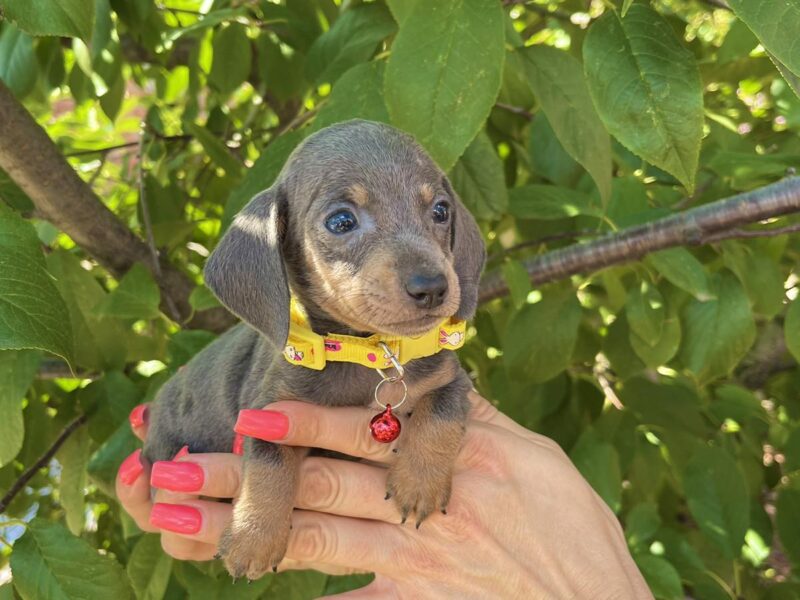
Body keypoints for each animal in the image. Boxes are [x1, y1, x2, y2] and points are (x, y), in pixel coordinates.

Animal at [141, 118, 484, 580]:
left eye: (441, 211)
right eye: (341, 221)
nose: (431, 287)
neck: (366, 352)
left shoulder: (451, 380)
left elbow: (441, 414)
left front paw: (419, 482)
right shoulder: (269, 410)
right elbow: (268, 466)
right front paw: (253, 537)